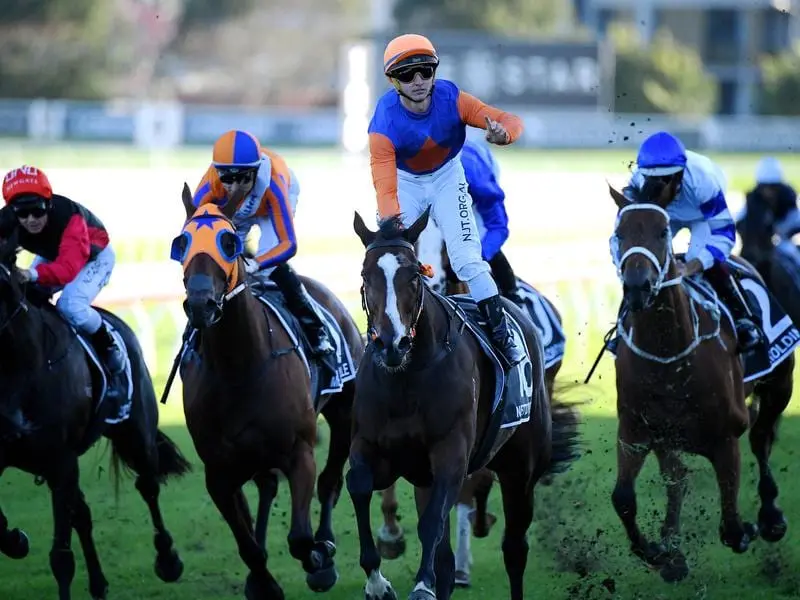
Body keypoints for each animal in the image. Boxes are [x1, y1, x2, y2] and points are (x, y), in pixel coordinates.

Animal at [0, 230, 189, 600]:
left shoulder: (60, 461)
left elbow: (60, 556)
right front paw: (16, 539)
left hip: (136, 433)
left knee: (148, 484)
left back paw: (168, 560)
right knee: (83, 513)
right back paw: (99, 583)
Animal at [175, 190, 366, 600]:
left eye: (228, 242)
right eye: (181, 242)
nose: (200, 304)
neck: (238, 367)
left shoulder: (299, 451)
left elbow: (300, 537)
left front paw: (319, 558)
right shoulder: (218, 471)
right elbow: (247, 545)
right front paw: (262, 582)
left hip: (345, 413)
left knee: (330, 481)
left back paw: (325, 549)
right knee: (266, 486)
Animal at [346, 210, 580, 600]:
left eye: (413, 276)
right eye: (365, 275)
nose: (391, 343)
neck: (407, 377)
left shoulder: (451, 453)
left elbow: (434, 522)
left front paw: (421, 586)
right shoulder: (374, 447)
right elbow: (359, 486)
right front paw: (377, 580)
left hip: (521, 468)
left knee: (514, 548)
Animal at [608, 182, 792, 580]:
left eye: (662, 231)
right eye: (619, 233)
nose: (637, 287)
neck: (670, 354)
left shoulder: (725, 436)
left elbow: (732, 525)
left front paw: (748, 528)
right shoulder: (636, 430)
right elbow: (624, 498)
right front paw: (659, 552)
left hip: (779, 384)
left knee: (761, 438)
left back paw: (771, 517)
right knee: (677, 476)